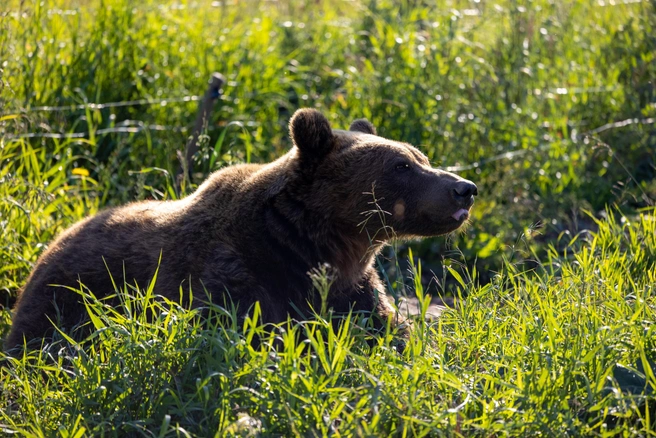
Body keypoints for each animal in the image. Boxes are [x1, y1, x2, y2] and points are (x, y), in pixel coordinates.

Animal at [5, 108, 477, 351]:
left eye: (421, 156)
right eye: (401, 166)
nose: (464, 189)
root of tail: (50, 246)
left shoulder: (355, 287)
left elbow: (390, 331)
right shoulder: (233, 275)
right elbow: (244, 330)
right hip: (66, 299)